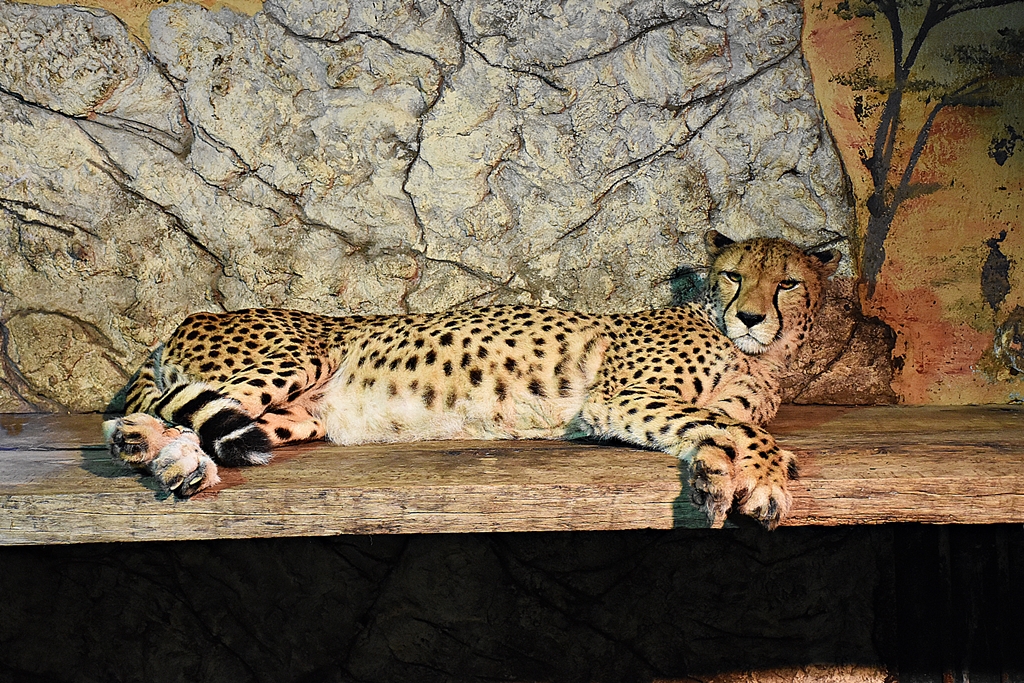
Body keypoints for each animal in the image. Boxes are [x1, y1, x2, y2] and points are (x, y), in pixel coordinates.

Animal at [104, 231, 840, 528]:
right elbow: (745, 432)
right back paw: (160, 453)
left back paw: (168, 460)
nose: (750, 315)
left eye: (788, 282)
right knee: (152, 408)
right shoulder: (617, 397)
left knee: (175, 420)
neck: (758, 355)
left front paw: (722, 475)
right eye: (734, 276)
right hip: (299, 357)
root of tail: (187, 318)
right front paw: (760, 478)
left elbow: (722, 426)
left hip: (299, 413)